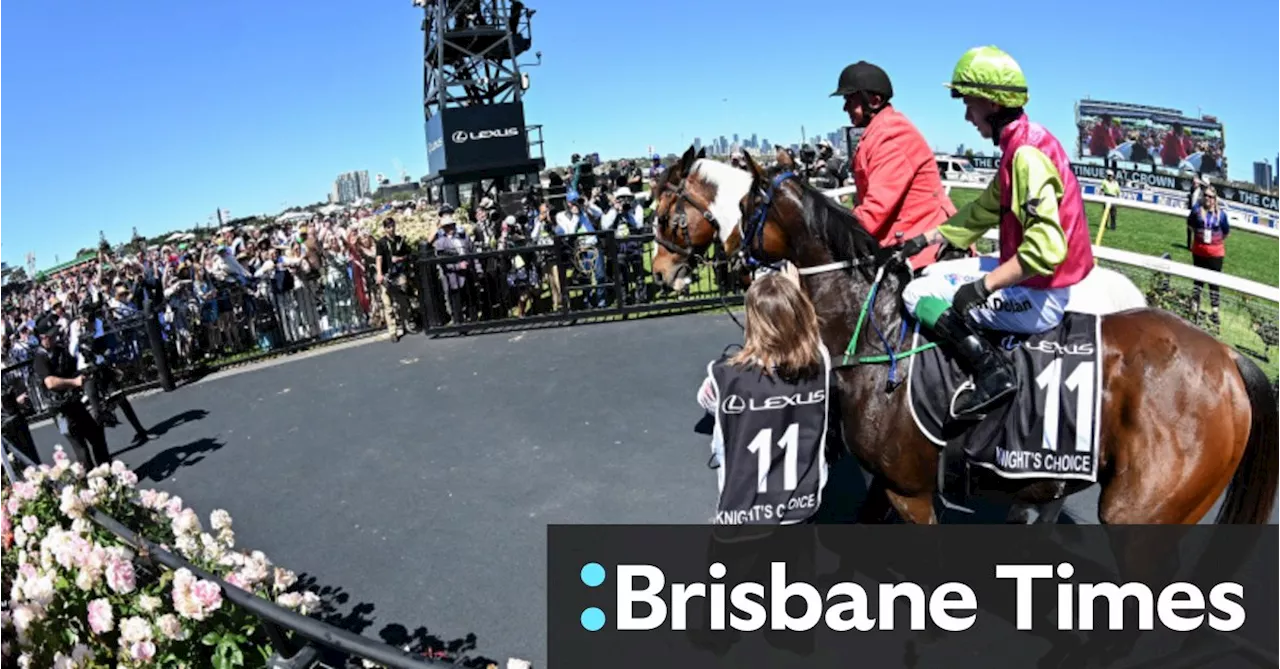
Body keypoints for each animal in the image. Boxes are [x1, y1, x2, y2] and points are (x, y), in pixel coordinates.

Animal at [655, 143, 1274, 527]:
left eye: (663, 215)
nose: (662, 272)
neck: (875, 333)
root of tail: (1227, 357)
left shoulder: (910, 492)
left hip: (1143, 511)